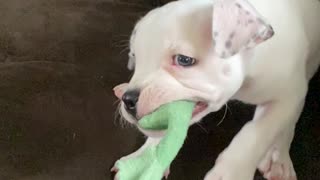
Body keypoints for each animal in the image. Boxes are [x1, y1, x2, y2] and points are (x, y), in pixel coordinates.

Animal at [112, 0, 320, 179]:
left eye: (184, 60)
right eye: (135, 59)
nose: (128, 99)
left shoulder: (288, 95)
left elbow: (256, 132)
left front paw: (230, 172)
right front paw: (142, 159)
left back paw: (278, 157)